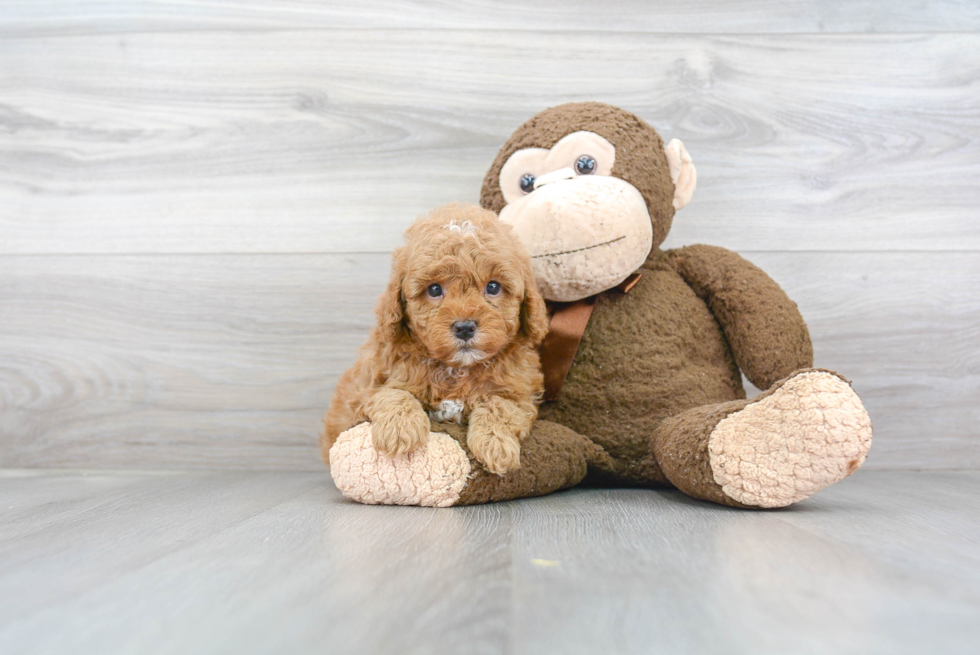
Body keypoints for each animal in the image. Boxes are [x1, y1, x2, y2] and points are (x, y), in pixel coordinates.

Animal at [322, 202, 552, 474]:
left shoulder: (520, 395)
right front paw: (399, 430)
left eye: (493, 287)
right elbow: (392, 393)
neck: (457, 368)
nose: (464, 327)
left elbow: (500, 405)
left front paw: (495, 444)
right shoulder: (363, 392)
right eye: (434, 289)